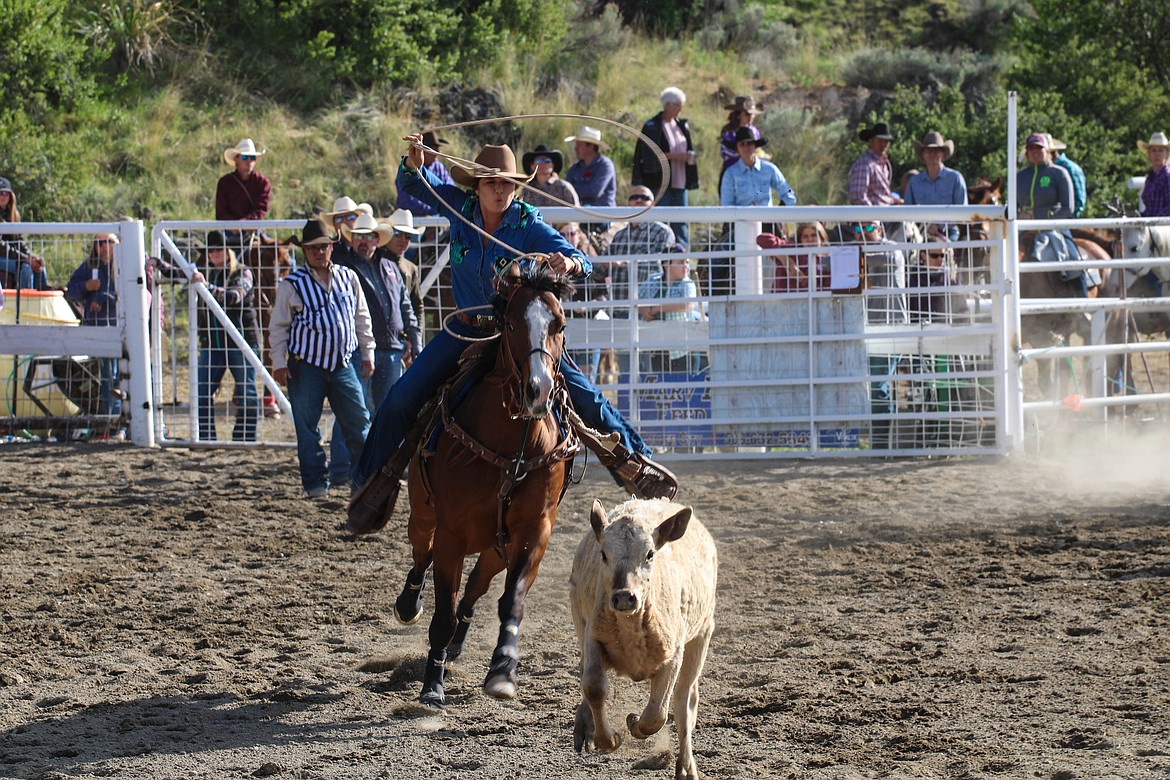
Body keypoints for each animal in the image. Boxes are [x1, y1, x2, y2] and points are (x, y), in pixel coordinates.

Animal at [393, 266, 580, 706]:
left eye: (560, 324)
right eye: (510, 323)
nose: (537, 390)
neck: (512, 448)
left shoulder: (534, 531)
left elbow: (511, 602)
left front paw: (502, 669)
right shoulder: (452, 534)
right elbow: (442, 613)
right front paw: (432, 685)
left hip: (497, 546)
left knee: (475, 589)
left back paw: (460, 642)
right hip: (423, 515)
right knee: (422, 554)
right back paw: (409, 603)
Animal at [570, 500, 716, 780]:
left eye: (649, 554)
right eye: (604, 554)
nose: (624, 597)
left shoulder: (675, 652)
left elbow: (657, 714)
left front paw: (634, 723)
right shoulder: (592, 635)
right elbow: (593, 686)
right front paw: (609, 739)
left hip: (702, 633)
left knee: (684, 701)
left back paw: (686, 768)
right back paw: (585, 725)